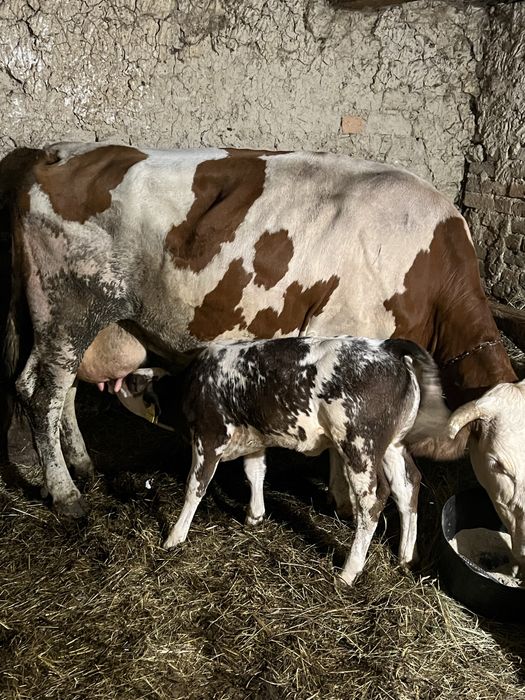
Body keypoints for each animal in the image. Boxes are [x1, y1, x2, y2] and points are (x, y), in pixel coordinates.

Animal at [119, 335, 451, 585]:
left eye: (135, 383)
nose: (123, 379)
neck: (190, 385)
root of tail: (386, 347)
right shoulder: (255, 437)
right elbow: (254, 472)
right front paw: (254, 516)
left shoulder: (209, 437)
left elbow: (195, 487)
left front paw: (174, 537)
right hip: (393, 444)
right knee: (408, 486)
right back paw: (406, 556)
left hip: (359, 445)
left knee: (373, 500)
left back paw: (348, 572)